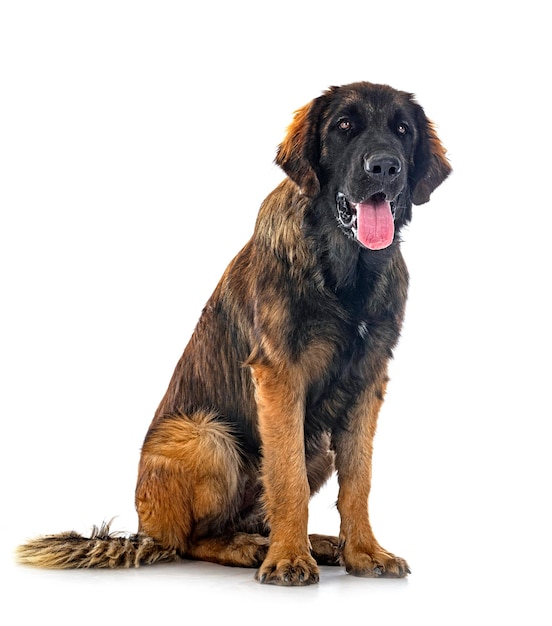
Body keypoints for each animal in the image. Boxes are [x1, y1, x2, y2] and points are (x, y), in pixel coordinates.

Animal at [17, 80, 450, 584]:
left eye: (402, 130)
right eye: (345, 126)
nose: (384, 166)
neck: (344, 269)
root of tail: (145, 532)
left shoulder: (368, 382)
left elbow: (358, 479)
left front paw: (363, 552)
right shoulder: (280, 377)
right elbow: (287, 478)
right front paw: (288, 558)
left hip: (316, 446)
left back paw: (315, 543)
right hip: (209, 437)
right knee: (192, 541)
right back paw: (256, 548)